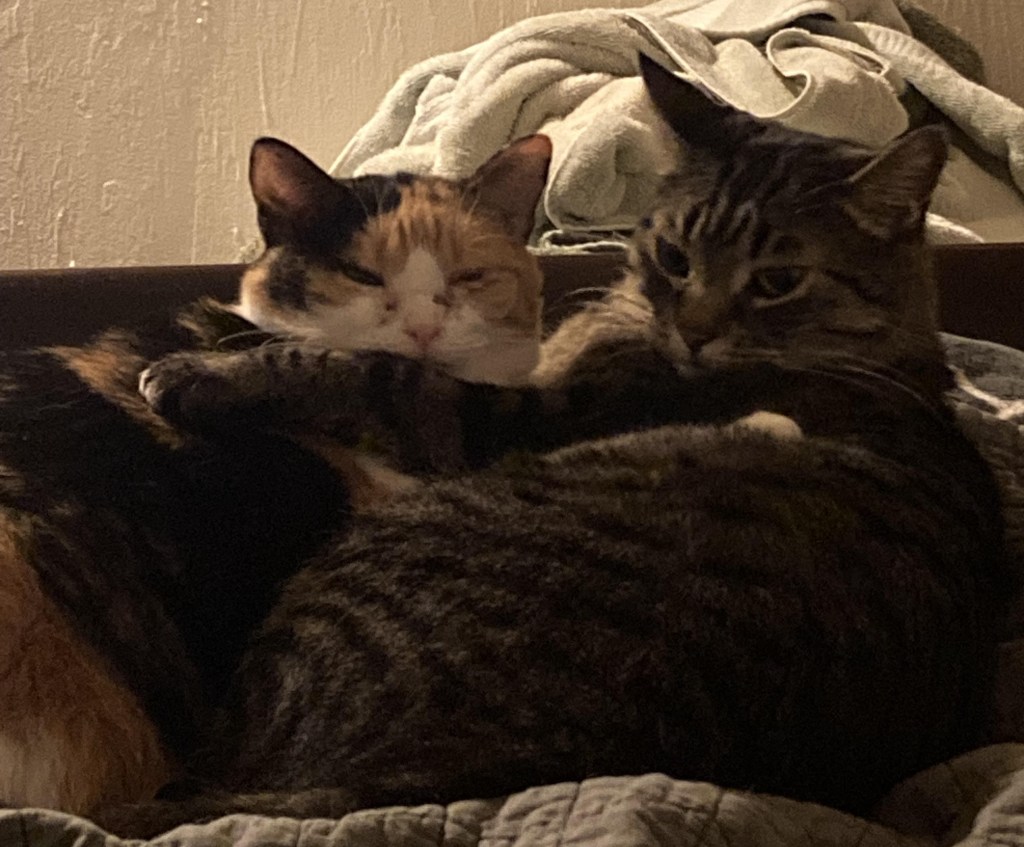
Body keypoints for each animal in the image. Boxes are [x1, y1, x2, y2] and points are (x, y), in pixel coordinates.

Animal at [94, 54, 1009, 838]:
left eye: (777, 280)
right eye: (673, 254)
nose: (693, 330)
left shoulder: (511, 416)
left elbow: (374, 371)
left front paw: (200, 369)